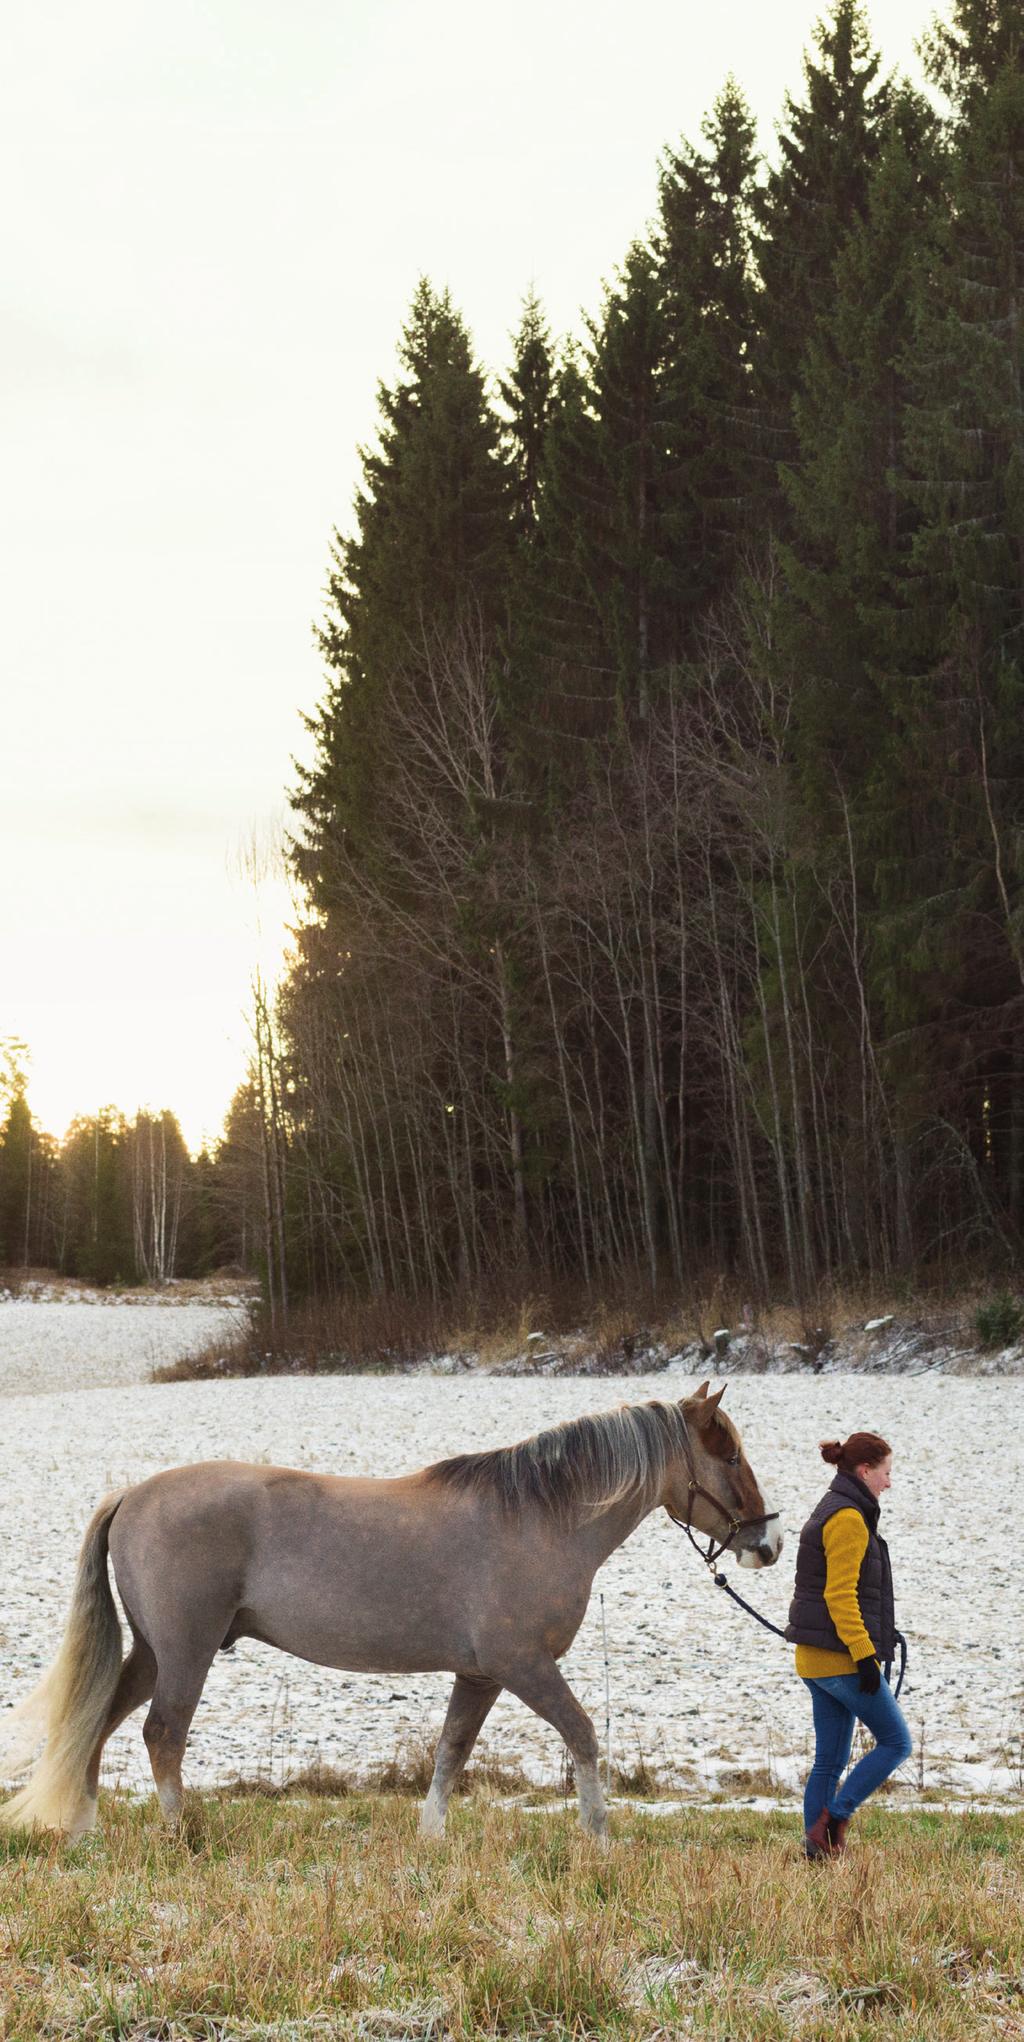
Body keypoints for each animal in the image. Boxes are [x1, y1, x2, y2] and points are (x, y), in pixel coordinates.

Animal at [1, 1380, 780, 1845]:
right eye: (728, 1453)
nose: (767, 1543)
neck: (537, 1517)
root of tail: (132, 1494)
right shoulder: (524, 1667)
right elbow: (582, 1736)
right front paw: (599, 1836)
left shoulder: (481, 1675)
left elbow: (451, 1751)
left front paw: (430, 1837)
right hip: (185, 1653)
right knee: (162, 1735)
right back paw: (179, 1834)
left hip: (152, 1651)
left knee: (96, 1723)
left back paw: (87, 1830)